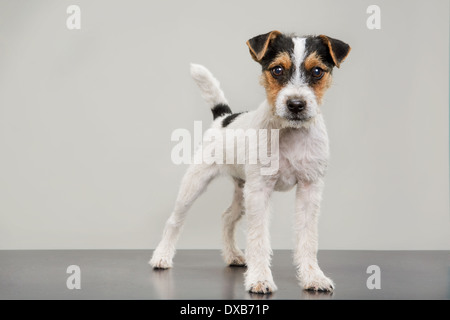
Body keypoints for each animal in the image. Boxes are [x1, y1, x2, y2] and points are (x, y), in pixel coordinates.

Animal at [151, 31, 352, 294]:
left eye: (317, 71)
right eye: (277, 70)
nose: (296, 105)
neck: (289, 132)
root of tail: (223, 118)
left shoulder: (309, 189)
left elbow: (308, 239)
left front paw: (313, 277)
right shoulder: (259, 191)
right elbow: (258, 238)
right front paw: (260, 279)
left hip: (242, 189)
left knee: (227, 217)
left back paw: (233, 255)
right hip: (195, 184)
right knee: (175, 220)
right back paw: (162, 256)